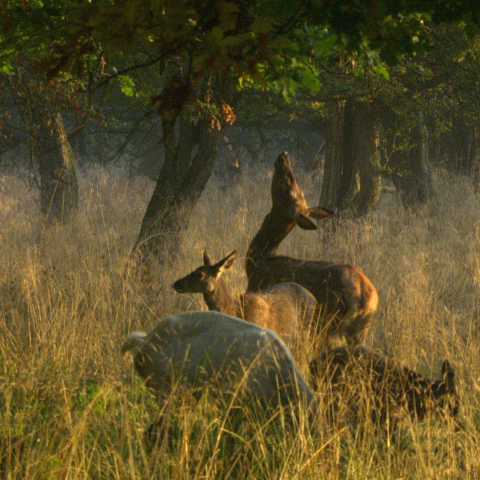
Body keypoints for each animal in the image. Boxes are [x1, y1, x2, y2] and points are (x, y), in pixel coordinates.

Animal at [248, 152, 378, 346]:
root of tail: (367, 296)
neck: (259, 260)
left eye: (289, 189)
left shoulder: (259, 291)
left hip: (330, 322)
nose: (284, 155)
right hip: (360, 330)